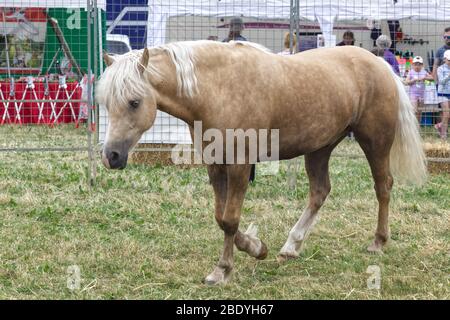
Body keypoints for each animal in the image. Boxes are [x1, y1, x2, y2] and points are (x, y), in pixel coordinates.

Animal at [96, 40, 428, 284]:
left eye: (134, 102)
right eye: (107, 103)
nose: (111, 156)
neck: (217, 89)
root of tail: (381, 64)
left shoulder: (240, 166)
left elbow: (230, 219)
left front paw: (223, 270)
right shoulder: (216, 164)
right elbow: (221, 217)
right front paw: (256, 248)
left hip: (375, 142)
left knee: (383, 186)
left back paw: (378, 242)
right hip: (319, 148)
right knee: (320, 192)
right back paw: (291, 246)